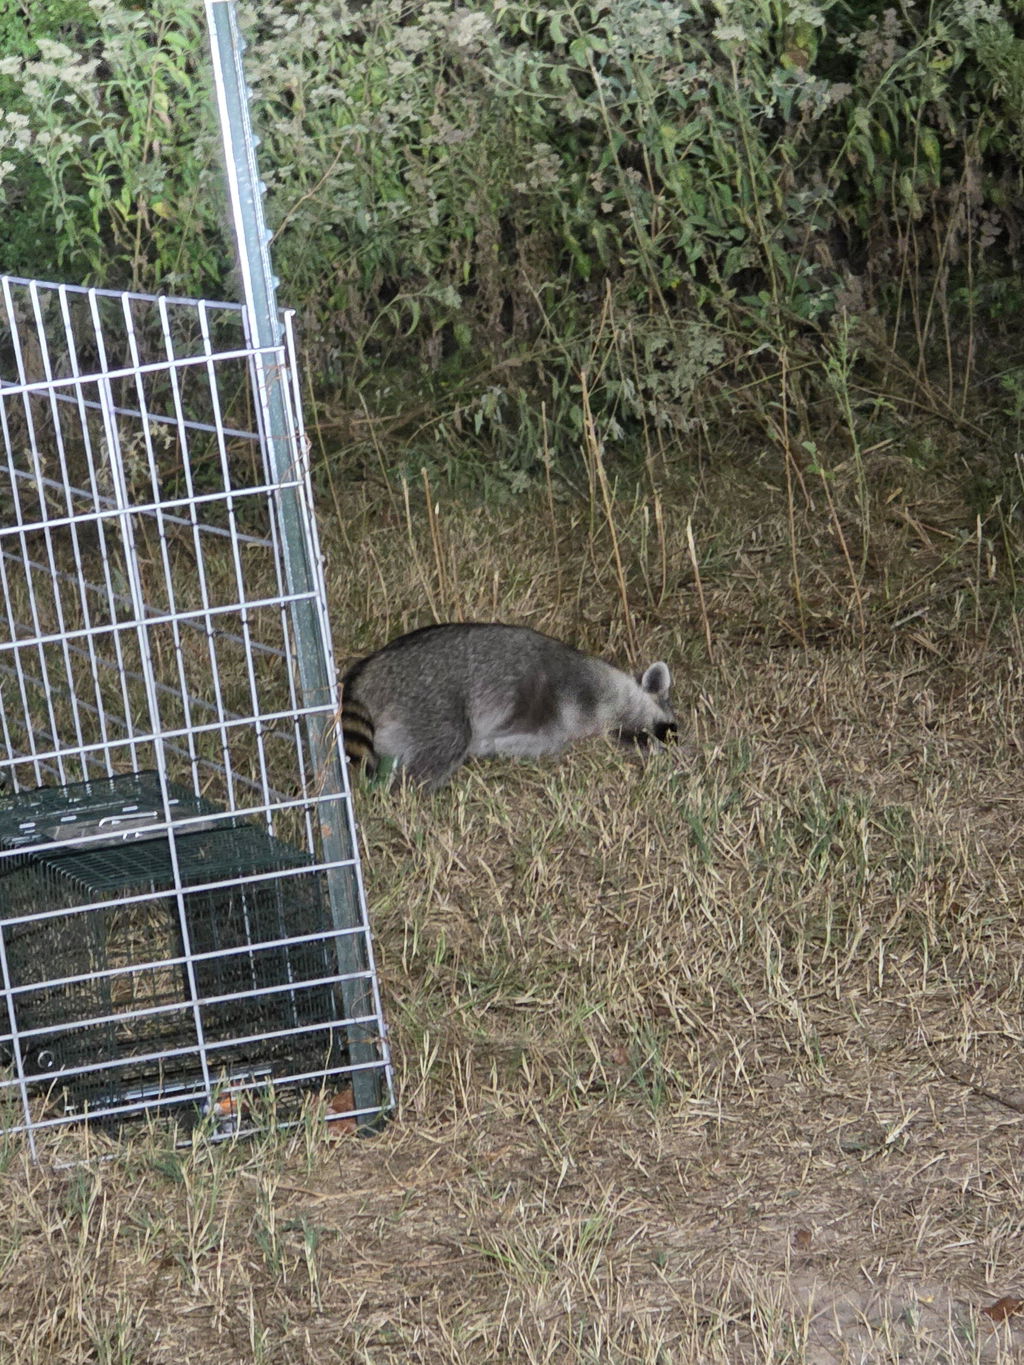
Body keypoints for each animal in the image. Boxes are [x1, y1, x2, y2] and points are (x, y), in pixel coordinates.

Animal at [341, 622, 676, 790]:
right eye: (669, 730)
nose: (676, 754)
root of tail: (368, 670)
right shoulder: (569, 690)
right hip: (425, 694)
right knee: (446, 741)